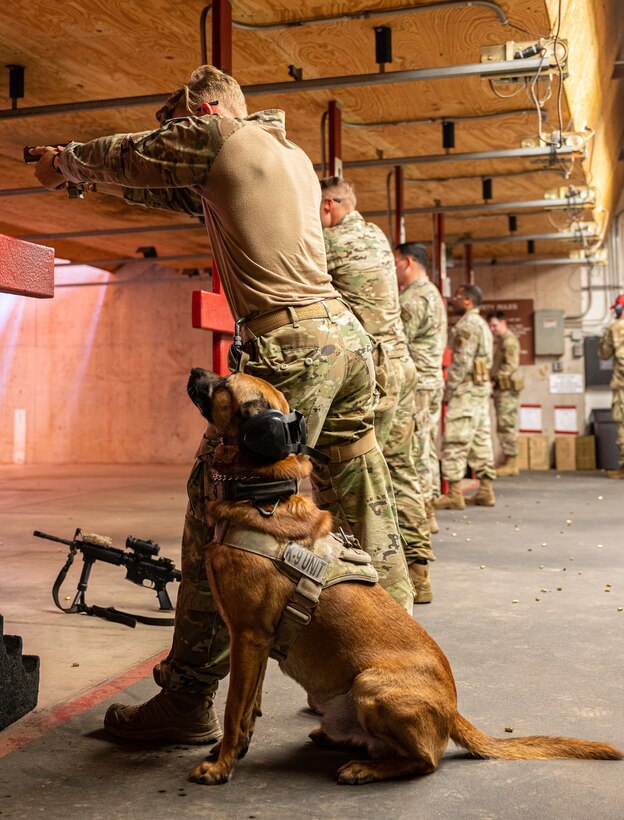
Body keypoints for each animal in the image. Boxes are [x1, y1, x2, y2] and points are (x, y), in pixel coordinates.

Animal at [186, 368, 624, 784]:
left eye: (225, 382)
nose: (194, 372)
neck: (264, 495)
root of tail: (454, 710)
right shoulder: (257, 643)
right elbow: (250, 709)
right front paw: (230, 751)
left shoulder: (248, 636)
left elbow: (234, 710)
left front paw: (221, 765)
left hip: (370, 686)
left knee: (425, 762)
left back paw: (364, 769)